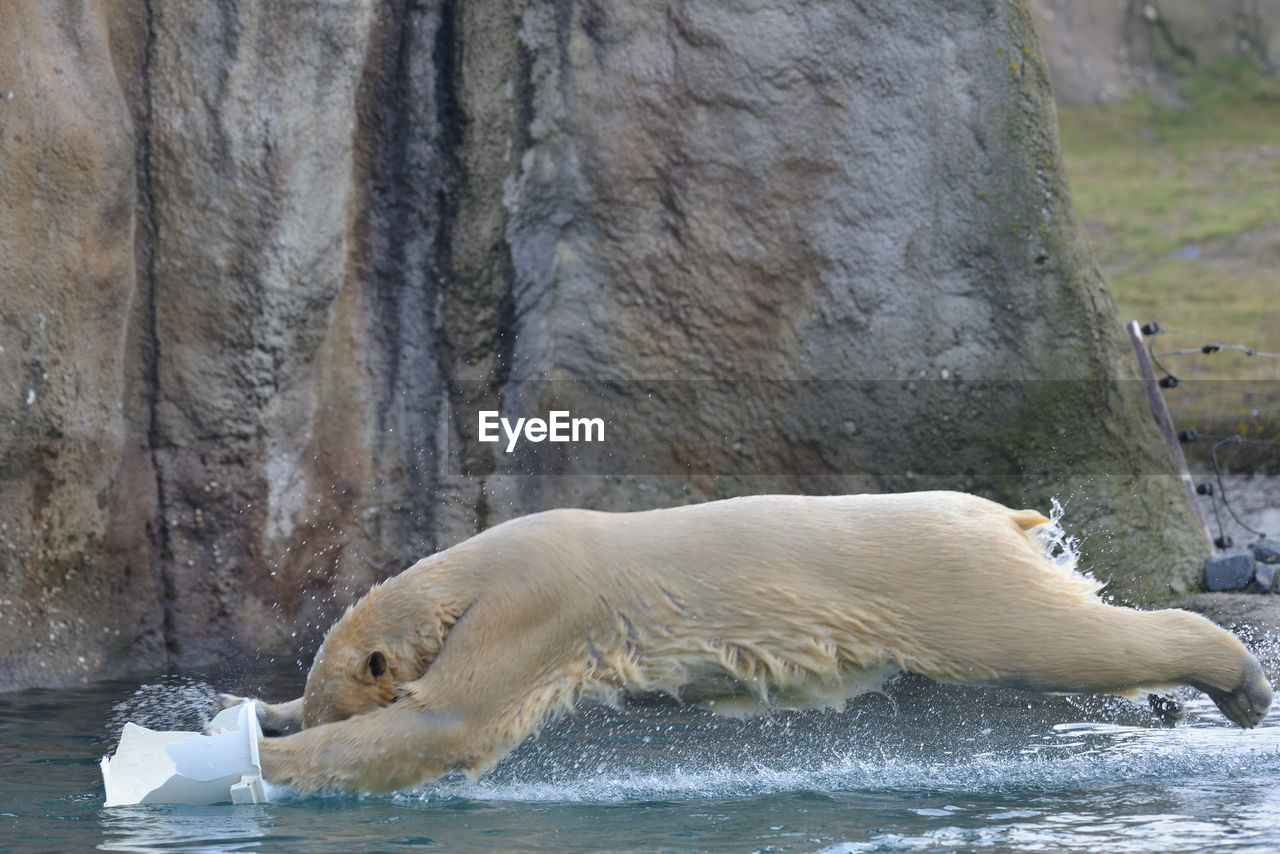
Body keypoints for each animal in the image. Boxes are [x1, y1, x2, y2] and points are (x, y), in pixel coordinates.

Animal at [230, 491, 1269, 798]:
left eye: (335, 697)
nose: (304, 709)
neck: (471, 570)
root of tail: (993, 516)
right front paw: (257, 710)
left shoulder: (539, 607)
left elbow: (450, 720)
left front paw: (260, 758)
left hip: (952, 583)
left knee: (1062, 637)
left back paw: (1243, 682)